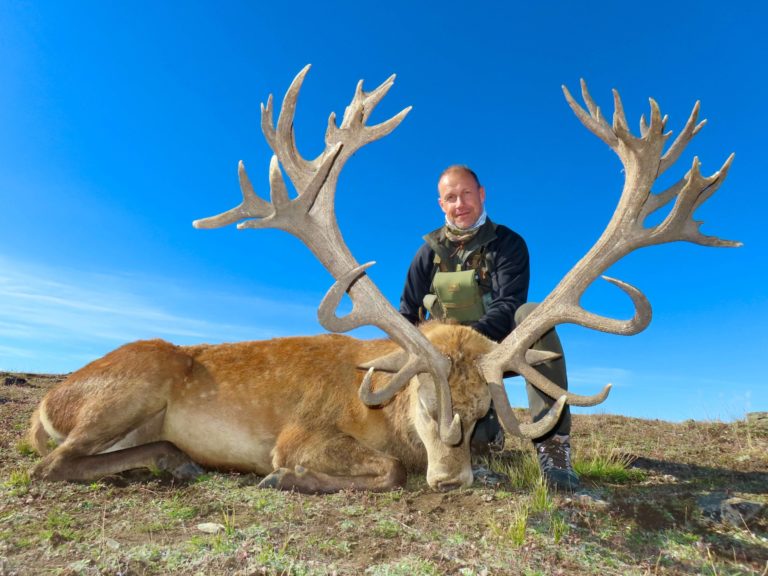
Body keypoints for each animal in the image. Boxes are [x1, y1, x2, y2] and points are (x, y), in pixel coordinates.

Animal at [27, 66, 739, 493]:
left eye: (482, 414)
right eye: (425, 405)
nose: (451, 479)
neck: (384, 413)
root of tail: (46, 403)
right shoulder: (300, 434)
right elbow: (382, 470)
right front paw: (282, 479)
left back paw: (175, 459)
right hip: (130, 387)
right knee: (52, 463)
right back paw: (175, 460)